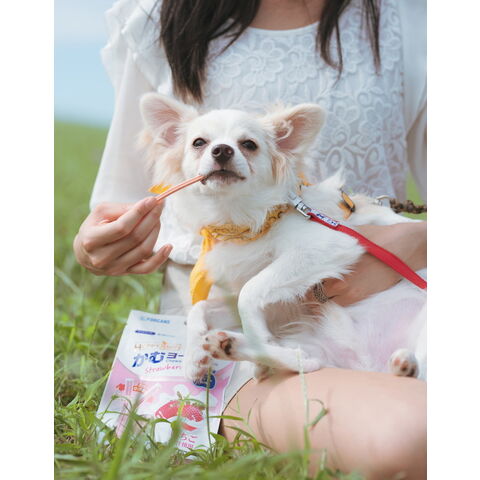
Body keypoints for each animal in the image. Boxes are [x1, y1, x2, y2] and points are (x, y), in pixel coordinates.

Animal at [139, 93, 427, 382]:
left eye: (249, 144)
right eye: (199, 143)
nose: (222, 149)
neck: (243, 221)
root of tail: (368, 365)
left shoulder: (326, 246)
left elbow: (248, 292)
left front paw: (256, 335)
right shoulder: (276, 305)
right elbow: (200, 307)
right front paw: (194, 355)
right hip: (314, 348)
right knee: (307, 361)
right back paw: (235, 347)